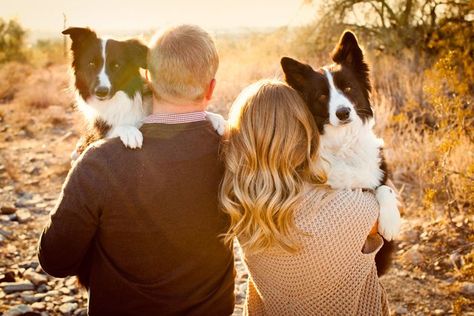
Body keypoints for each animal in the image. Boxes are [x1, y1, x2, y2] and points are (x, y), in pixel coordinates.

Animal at [62, 26, 224, 160]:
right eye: (91, 64)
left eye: (117, 66)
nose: (101, 92)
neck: (119, 100)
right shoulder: (99, 132)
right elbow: (116, 128)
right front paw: (130, 131)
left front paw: (217, 119)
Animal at [282, 30, 400, 276]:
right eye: (322, 96)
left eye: (347, 88)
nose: (343, 112)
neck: (345, 143)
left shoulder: (379, 171)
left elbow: (386, 188)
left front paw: (391, 222)